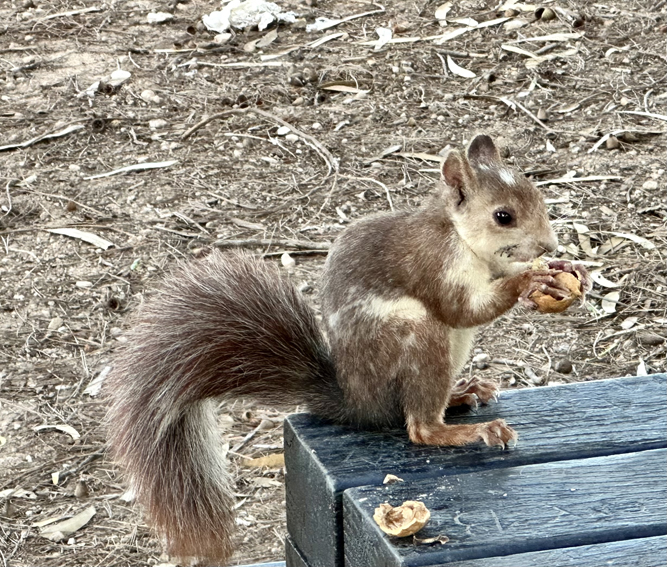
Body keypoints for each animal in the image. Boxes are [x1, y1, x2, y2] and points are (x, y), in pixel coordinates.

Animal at [107, 134, 585, 565]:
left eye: (536, 195)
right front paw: (529, 279)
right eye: (503, 216)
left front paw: (563, 270)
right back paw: (465, 429)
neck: (457, 235)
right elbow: (463, 308)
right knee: (419, 427)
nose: (549, 246)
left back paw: (462, 393)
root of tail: (356, 401)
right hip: (415, 335)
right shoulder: (436, 264)